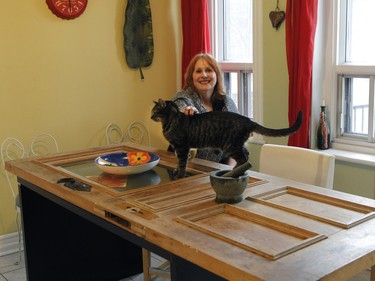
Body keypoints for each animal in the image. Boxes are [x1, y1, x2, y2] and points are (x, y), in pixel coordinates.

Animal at [151, 98, 302, 177]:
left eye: (154, 111)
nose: (150, 116)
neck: (171, 121)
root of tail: (249, 120)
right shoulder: (180, 148)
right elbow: (178, 162)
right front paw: (176, 171)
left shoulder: (182, 147)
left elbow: (182, 164)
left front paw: (180, 175)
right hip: (237, 144)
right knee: (246, 155)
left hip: (230, 145)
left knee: (243, 158)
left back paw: (234, 171)